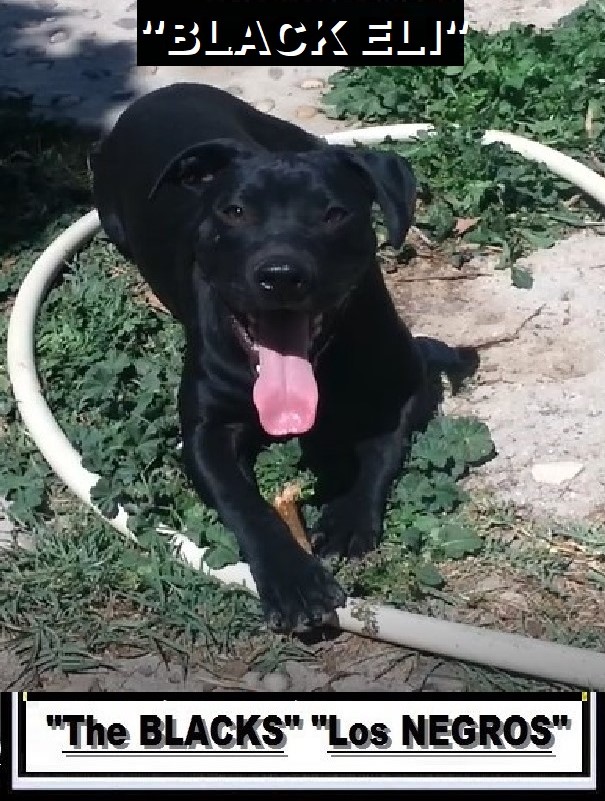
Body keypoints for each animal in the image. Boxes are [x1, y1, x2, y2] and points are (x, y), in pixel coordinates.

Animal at [91, 83, 475, 632]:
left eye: (334, 214)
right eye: (234, 212)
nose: (281, 274)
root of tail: (166, 91)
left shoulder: (405, 387)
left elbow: (382, 446)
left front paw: (348, 514)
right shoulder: (205, 432)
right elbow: (244, 503)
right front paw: (292, 578)